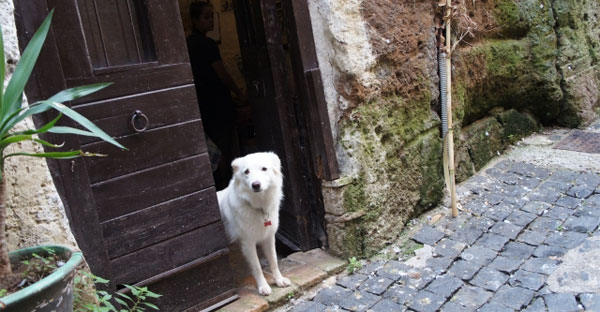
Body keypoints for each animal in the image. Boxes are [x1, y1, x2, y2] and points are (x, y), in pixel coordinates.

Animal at [217, 152, 292, 296]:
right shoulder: (248, 243)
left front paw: (279, 280)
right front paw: (263, 286)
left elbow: (274, 261)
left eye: (264, 169)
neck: (259, 207)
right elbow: (257, 267)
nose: (255, 185)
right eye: (246, 171)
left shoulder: (269, 238)